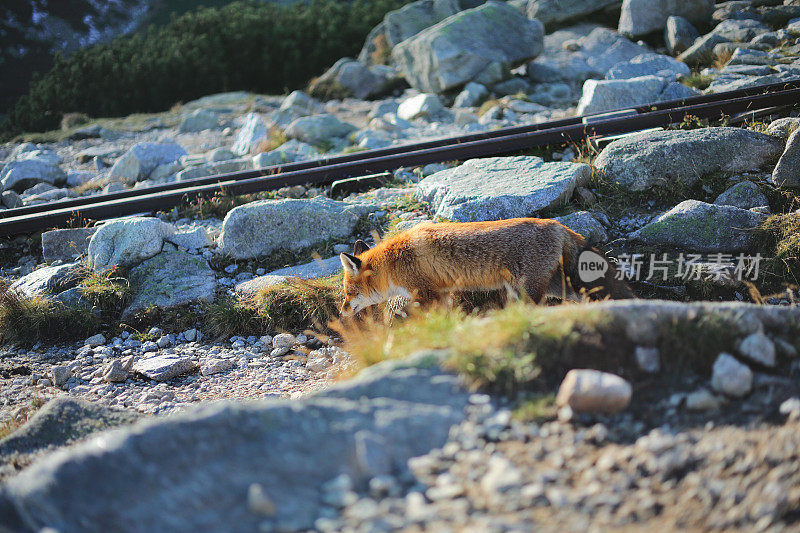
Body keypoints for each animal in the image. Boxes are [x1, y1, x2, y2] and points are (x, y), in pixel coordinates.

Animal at [338, 217, 632, 314]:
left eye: (348, 293)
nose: (341, 312)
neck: (392, 262)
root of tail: (558, 225)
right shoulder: (443, 293)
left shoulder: (426, 294)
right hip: (555, 287)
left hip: (528, 291)